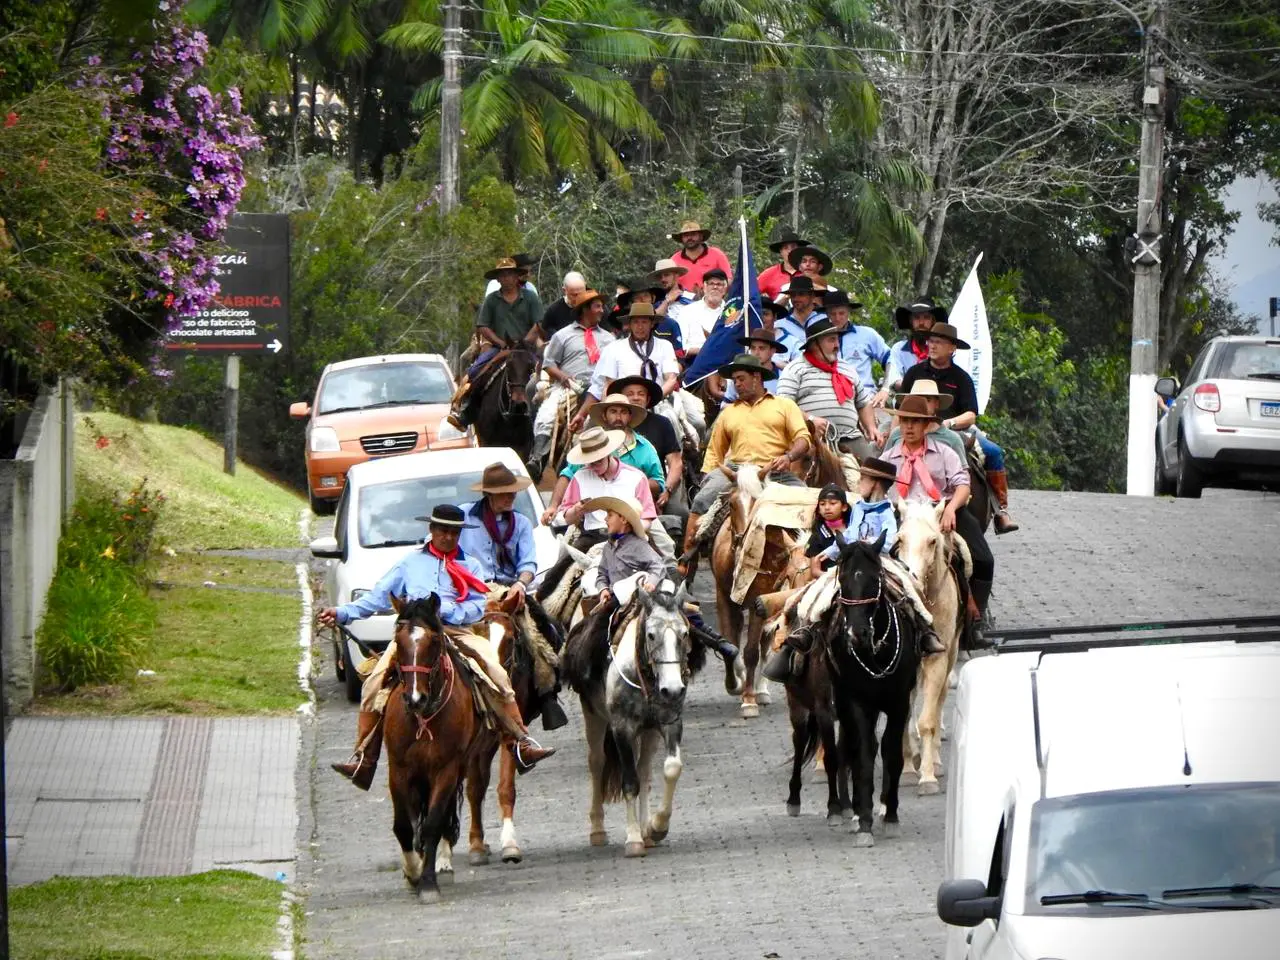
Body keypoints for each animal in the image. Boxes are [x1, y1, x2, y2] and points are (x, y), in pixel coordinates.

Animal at [381, 593, 486, 901]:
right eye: (398, 640)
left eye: (435, 641)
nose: (415, 699)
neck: (424, 718)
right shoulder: (398, 769)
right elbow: (404, 826)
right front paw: (412, 872)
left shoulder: (446, 770)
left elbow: (432, 824)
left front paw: (427, 882)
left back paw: (442, 863)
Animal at [560, 578, 701, 855]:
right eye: (651, 635)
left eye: (684, 633)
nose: (672, 689)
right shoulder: (622, 728)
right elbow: (629, 783)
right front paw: (634, 839)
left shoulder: (669, 722)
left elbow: (670, 769)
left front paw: (656, 827)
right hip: (594, 716)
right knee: (597, 763)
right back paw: (598, 830)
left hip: (647, 732)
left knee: (644, 770)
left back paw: (647, 833)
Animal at [819, 535, 921, 849]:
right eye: (842, 580)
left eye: (875, 579)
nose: (858, 633)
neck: (875, 651)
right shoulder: (856, 702)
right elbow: (863, 755)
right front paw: (863, 820)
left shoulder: (899, 702)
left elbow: (891, 752)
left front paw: (891, 814)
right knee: (850, 747)